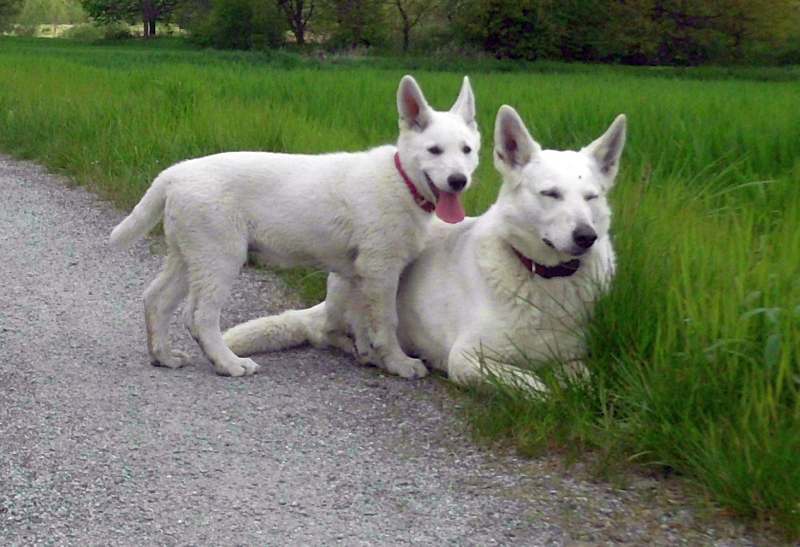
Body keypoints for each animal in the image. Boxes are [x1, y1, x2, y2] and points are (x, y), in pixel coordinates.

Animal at [108, 75, 478, 378]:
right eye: (434, 150)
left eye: (467, 150)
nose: (458, 181)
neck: (403, 181)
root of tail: (175, 173)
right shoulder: (380, 271)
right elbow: (385, 323)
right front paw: (399, 363)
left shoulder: (357, 274)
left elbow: (362, 322)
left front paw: (371, 357)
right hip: (220, 258)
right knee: (199, 316)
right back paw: (228, 363)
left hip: (188, 257)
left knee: (156, 299)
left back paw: (164, 356)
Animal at [223, 106, 624, 390]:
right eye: (550, 194)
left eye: (592, 197)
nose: (586, 237)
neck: (542, 277)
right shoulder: (468, 358)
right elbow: (537, 386)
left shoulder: (575, 358)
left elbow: (580, 379)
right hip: (365, 279)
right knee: (332, 331)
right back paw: (372, 352)